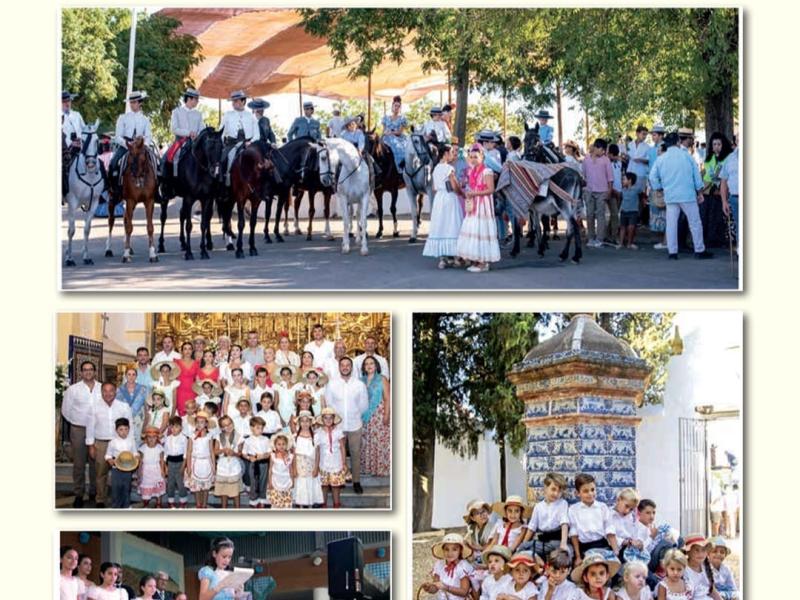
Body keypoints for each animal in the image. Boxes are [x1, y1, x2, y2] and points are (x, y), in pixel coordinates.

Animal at [64, 119, 107, 264]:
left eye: (97, 140)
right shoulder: (72, 203)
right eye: (82, 140)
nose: (91, 163)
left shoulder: (93, 203)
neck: (89, 174)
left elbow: (87, 229)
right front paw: (69, 259)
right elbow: (71, 230)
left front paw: (86, 256)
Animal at [159, 126, 223, 260]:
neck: (199, 169)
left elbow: (203, 224)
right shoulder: (189, 198)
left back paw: (183, 243)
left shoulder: (206, 199)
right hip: (166, 195)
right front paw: (189, 253)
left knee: (182, 214)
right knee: (163, 218)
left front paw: (204, 251)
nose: (215, 171)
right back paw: (161, 245)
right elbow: (189, 225)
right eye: (209, 147)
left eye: (221, 146)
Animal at [506, 122, 588, 262]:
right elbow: (537, 226)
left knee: (572, 226)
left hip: (564, 205)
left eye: (538, 141)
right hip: (571, 206)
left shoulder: (521, 205)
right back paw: (571, 254)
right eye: (524, 140)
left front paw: (515, 250)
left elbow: (519, 225)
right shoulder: (534, 208)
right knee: (572, 227)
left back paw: (570, 255)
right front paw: (539, 248)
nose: (529, 157)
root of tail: (576, 176)